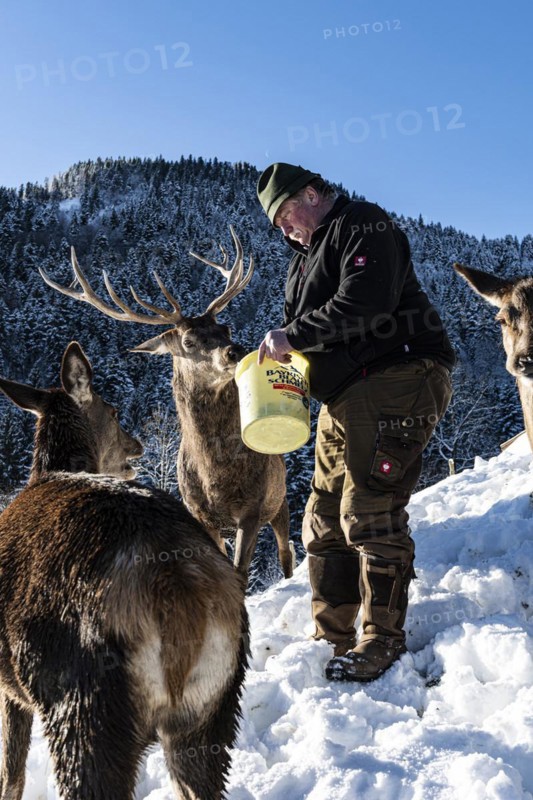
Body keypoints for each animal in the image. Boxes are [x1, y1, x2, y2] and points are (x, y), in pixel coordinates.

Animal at [0, 341, 248, 800]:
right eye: (114, 410)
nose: (136, 445)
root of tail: (176, 583)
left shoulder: (8, 684)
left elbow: (12, 775)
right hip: (213, 706)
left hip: (85, 702)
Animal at [39, 228, 295, 585]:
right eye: (188, 341)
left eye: (225, 327)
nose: (235, 351)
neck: (217, 476)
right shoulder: (202, 516)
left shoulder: (253, 508)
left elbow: (241, 573)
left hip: (280, 499)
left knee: (288, 552)